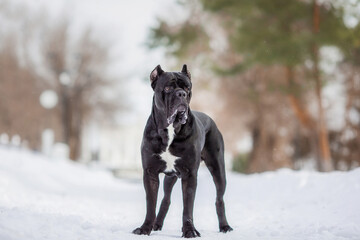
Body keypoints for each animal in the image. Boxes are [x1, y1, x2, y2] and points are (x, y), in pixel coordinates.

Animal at [133, 64, 233, 237]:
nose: (181, 94)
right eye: (167, 88)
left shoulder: (189, 174)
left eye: (187, 88)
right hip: (170, 176)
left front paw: (189, 230)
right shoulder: (150, 173)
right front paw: (145, 228)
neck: (170, 130)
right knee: (166, 199)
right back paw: (156, 224)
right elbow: (151, 204)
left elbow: (188, 207)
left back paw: (225, 226)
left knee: (219, 199)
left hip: (218, 170)